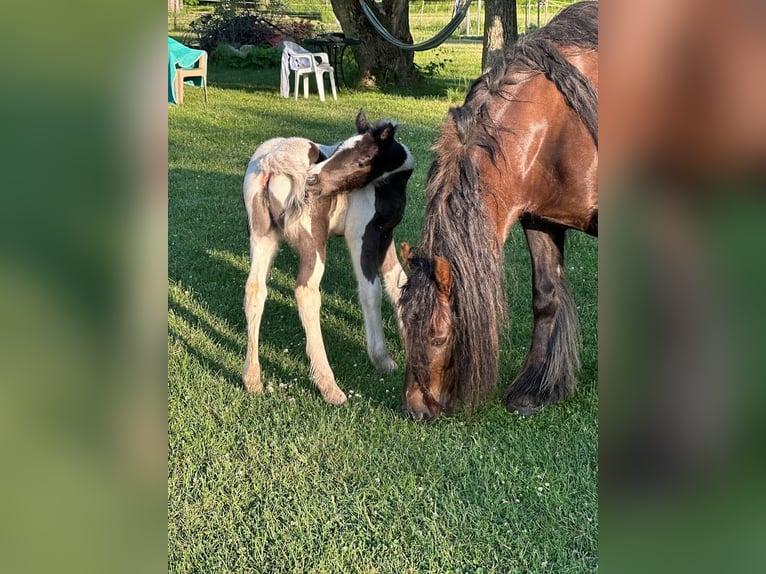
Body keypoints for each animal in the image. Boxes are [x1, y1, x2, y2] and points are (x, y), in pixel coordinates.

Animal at [242, 110, 414, 405]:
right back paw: (329, 386)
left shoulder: (386, 235)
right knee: (306, 291)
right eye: (339, 149)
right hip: (313, 242)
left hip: (263, 235)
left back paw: (252, 379)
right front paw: (382, 359)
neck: (387, 186)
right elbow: (371, 291)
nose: (312, 179)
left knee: (255, 288)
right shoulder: (361, 235)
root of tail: (273, 162)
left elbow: (399, 283)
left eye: (362, 160)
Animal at [398, 1, 598, 421]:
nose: (415, 410)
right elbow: (546, 298)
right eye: (404, 325)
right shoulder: (541, 219)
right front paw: (534, 392)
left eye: (440, 335)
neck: (561, 125)